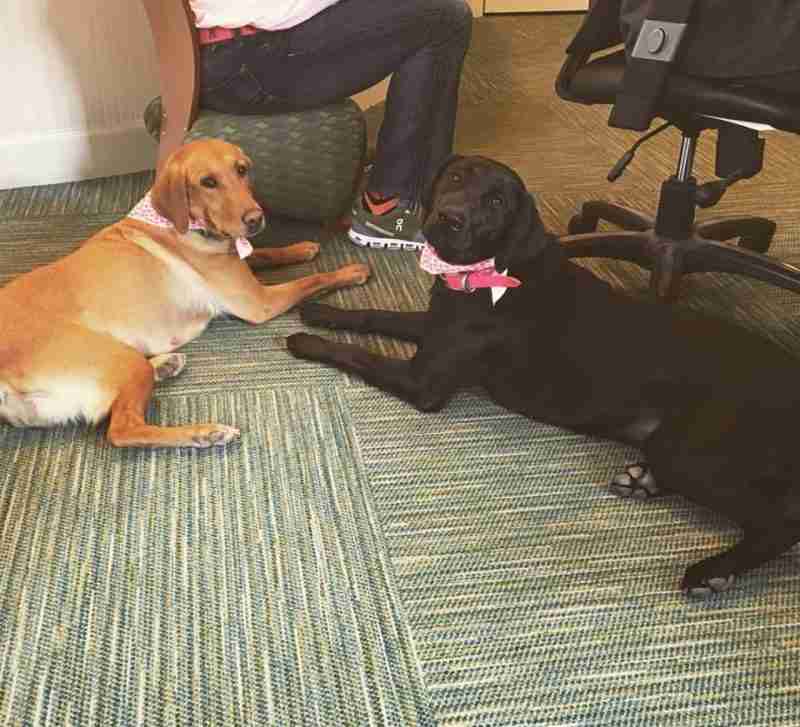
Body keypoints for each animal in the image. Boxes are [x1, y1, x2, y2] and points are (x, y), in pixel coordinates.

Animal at [290, 155, 800, 596]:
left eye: (497, 202)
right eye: (454, 178)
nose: (449, 218)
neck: (490, 272)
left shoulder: (424, 382)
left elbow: (356, 354)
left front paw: (304, 341)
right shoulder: (435, 328)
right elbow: (374, 315)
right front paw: (321, 310)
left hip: (690, 449)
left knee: (782, 521)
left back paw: (712, 571)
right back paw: (641, 481)